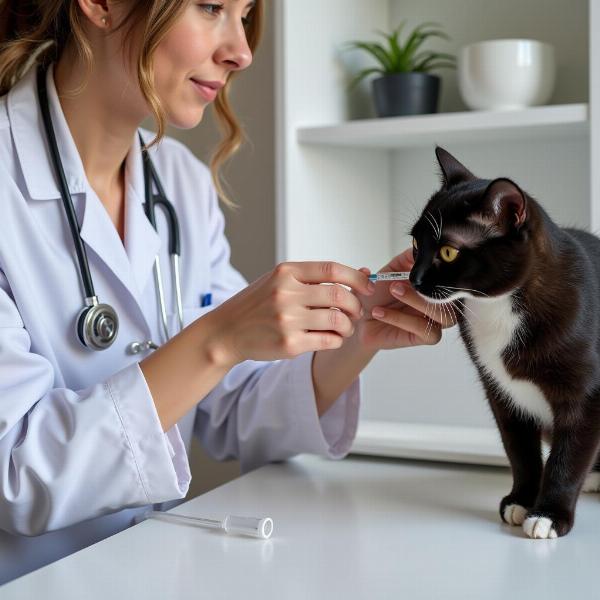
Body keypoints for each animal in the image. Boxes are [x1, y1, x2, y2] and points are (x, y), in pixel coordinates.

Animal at [410, 146, 600, 540]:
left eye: (448, 252)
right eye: (416, 244)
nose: (413, 279)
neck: (500, 306)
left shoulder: (587, 395)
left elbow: (569, 453)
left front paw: (549, 515)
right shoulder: (501, 391)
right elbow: (520, 450)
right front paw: (521, 501)